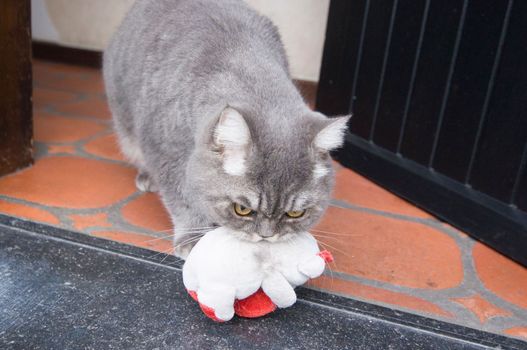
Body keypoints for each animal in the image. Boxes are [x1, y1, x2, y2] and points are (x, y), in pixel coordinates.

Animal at [103, 0, 350, 258]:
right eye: (242, 208)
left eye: (296, 213)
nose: (266, 236)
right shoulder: (166, 151)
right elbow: (182, 199)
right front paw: (193, 236)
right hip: (127, 130)